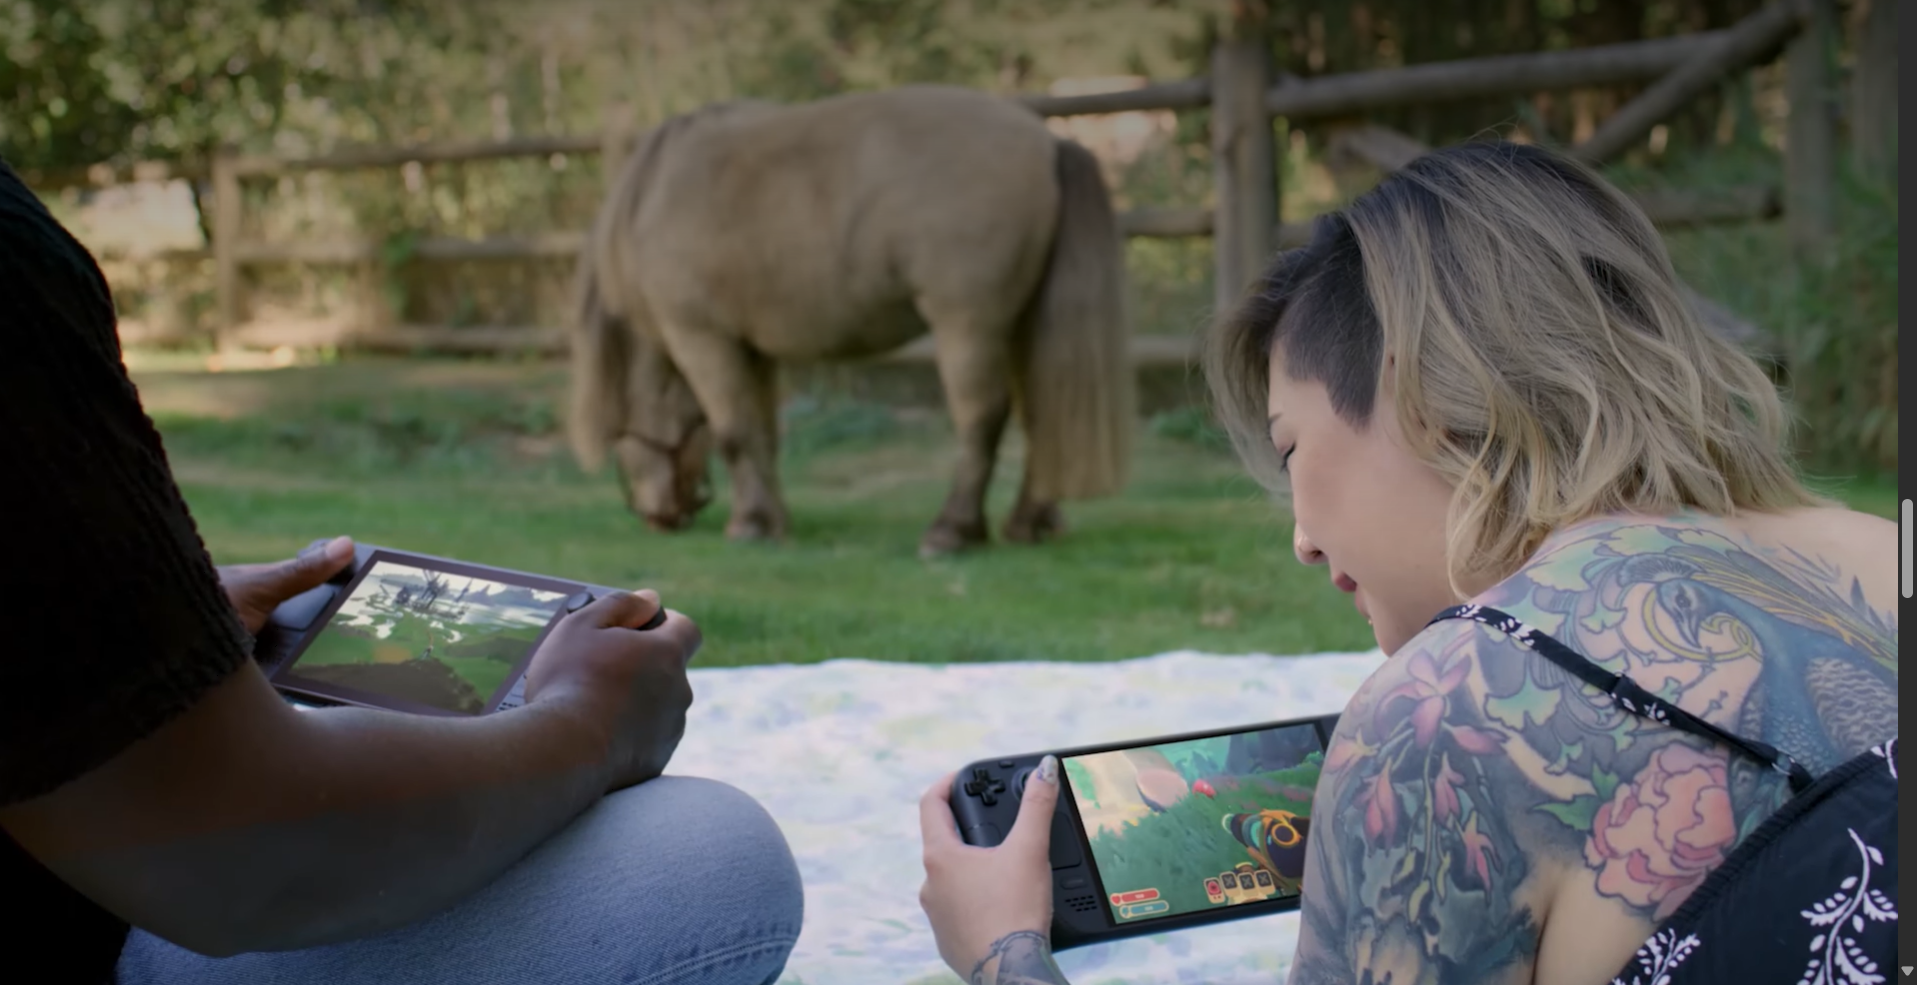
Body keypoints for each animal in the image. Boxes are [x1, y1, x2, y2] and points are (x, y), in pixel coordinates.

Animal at [567, 80, 1134, 555]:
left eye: (618, 441)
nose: (658, 516)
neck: (651, 202)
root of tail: (1048, 142)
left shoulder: (702, 339)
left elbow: (733, 431)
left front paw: (749, 523)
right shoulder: (753, 350)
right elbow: (762, 434)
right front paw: (773, 520)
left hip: (969, 326)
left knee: (982, 418)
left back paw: (952, 529)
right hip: (1021, 325)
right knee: (1042, 409)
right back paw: (1028, 521)